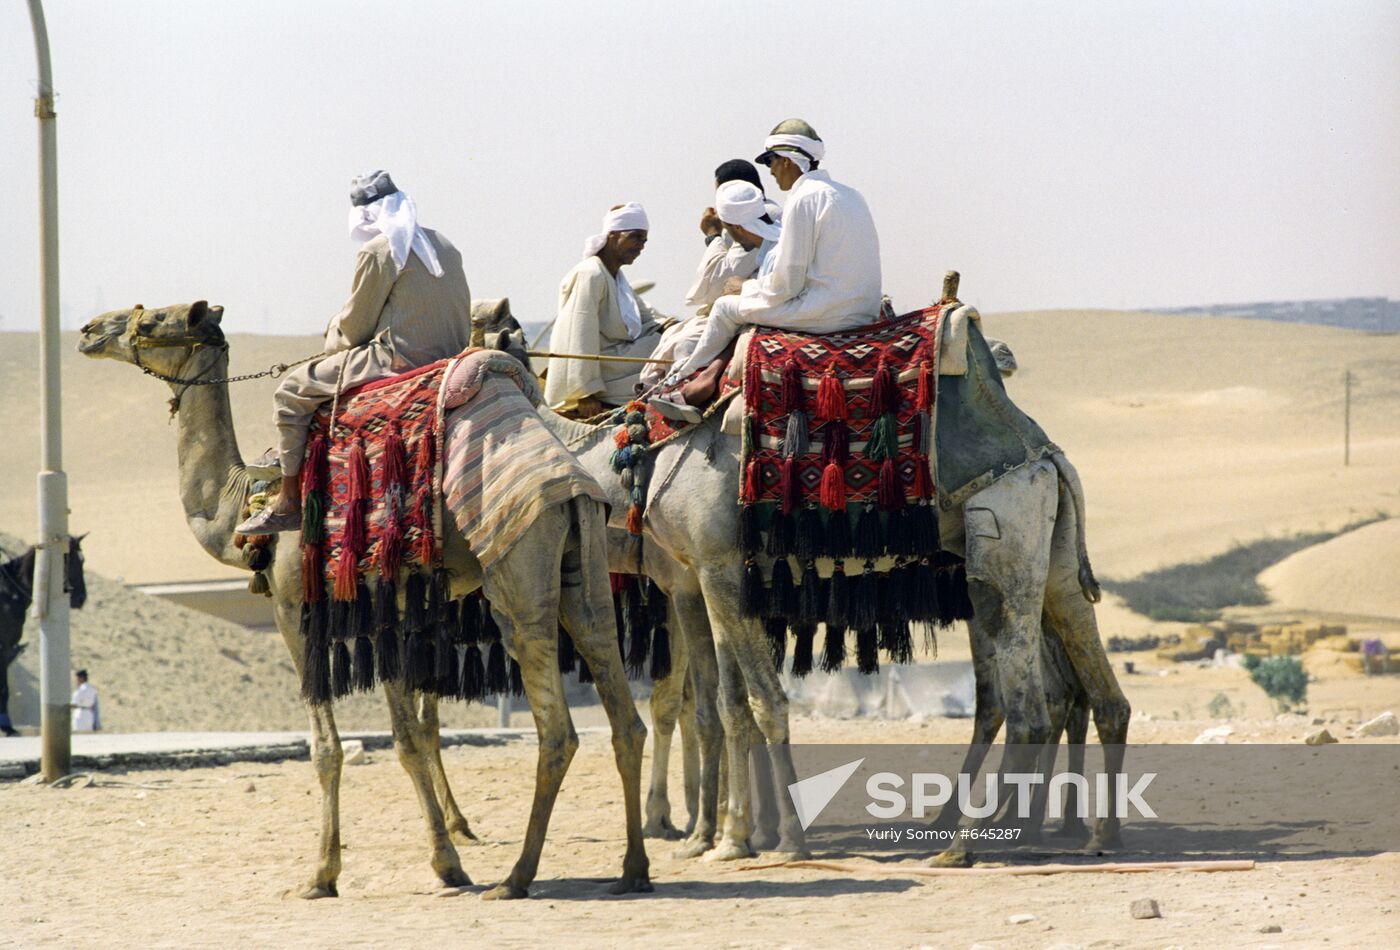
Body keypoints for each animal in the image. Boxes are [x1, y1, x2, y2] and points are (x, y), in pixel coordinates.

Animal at [77, 302, 652, 900]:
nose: (90, 330)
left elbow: (330, 747)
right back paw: (632, 868)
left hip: (519, 569)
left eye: (151, 320)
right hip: (586, 572)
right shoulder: (389, 610)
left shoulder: (294, 609)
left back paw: (518, 876)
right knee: (623, 710)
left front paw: (325, 874)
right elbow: (409, 738)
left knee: (557, 727)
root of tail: (572, 480)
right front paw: (445, 859)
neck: (237, 508)